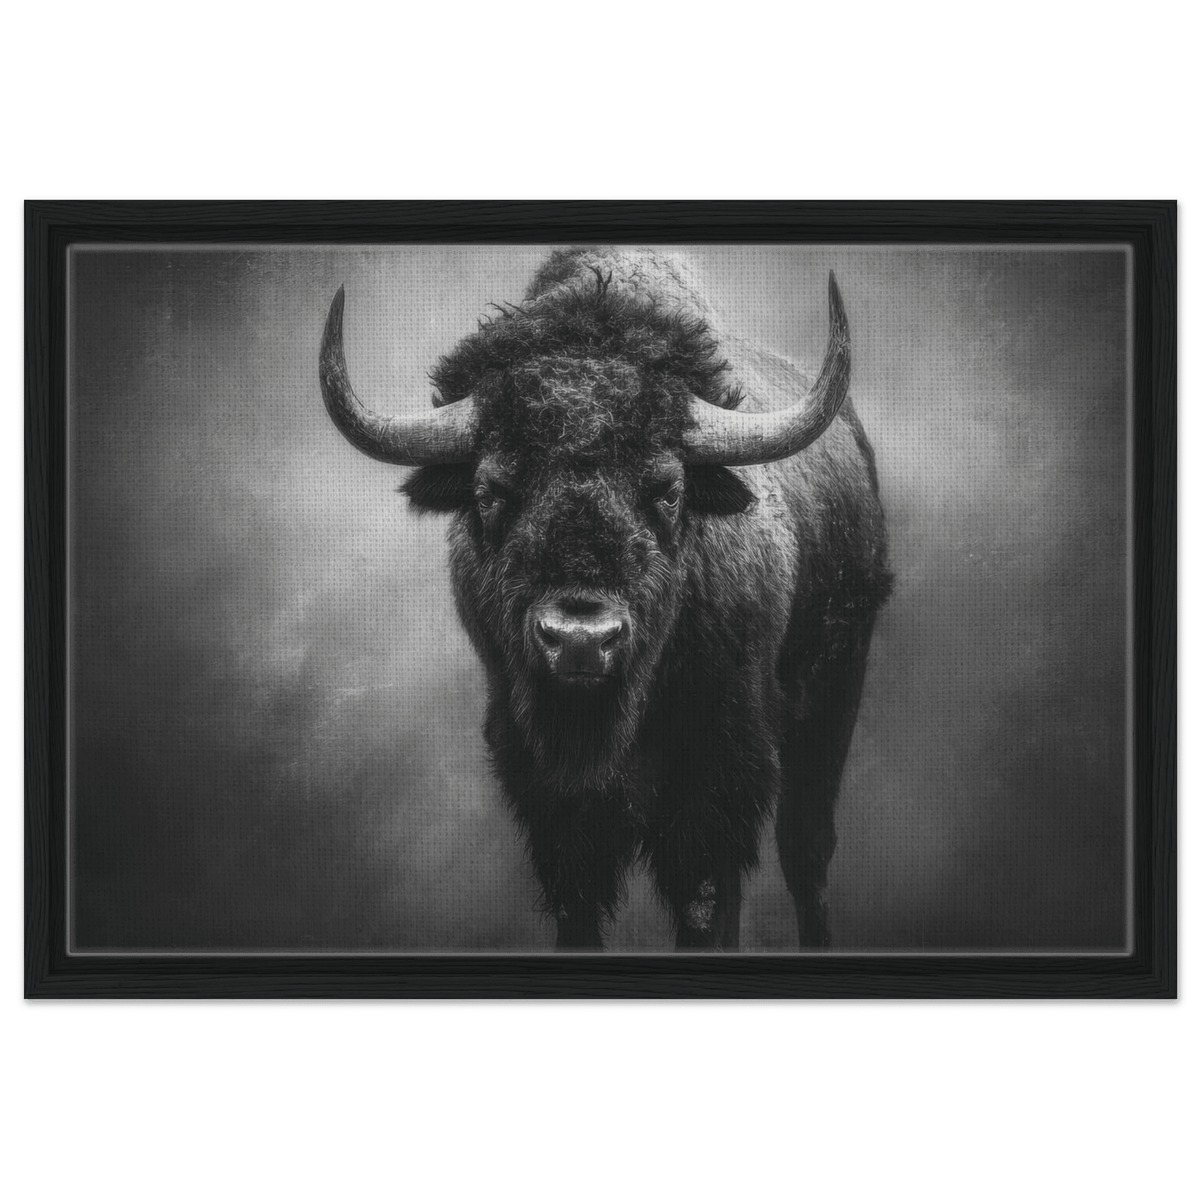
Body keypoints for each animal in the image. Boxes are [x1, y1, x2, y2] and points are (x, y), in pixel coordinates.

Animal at [319, 247, 891, 952]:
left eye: (668, 489)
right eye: (491, 491)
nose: (580, 641)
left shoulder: (719, 773)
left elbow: (705, 898)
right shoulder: (546, 789)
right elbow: (579, 902)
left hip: (833, 692)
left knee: (805, 851)